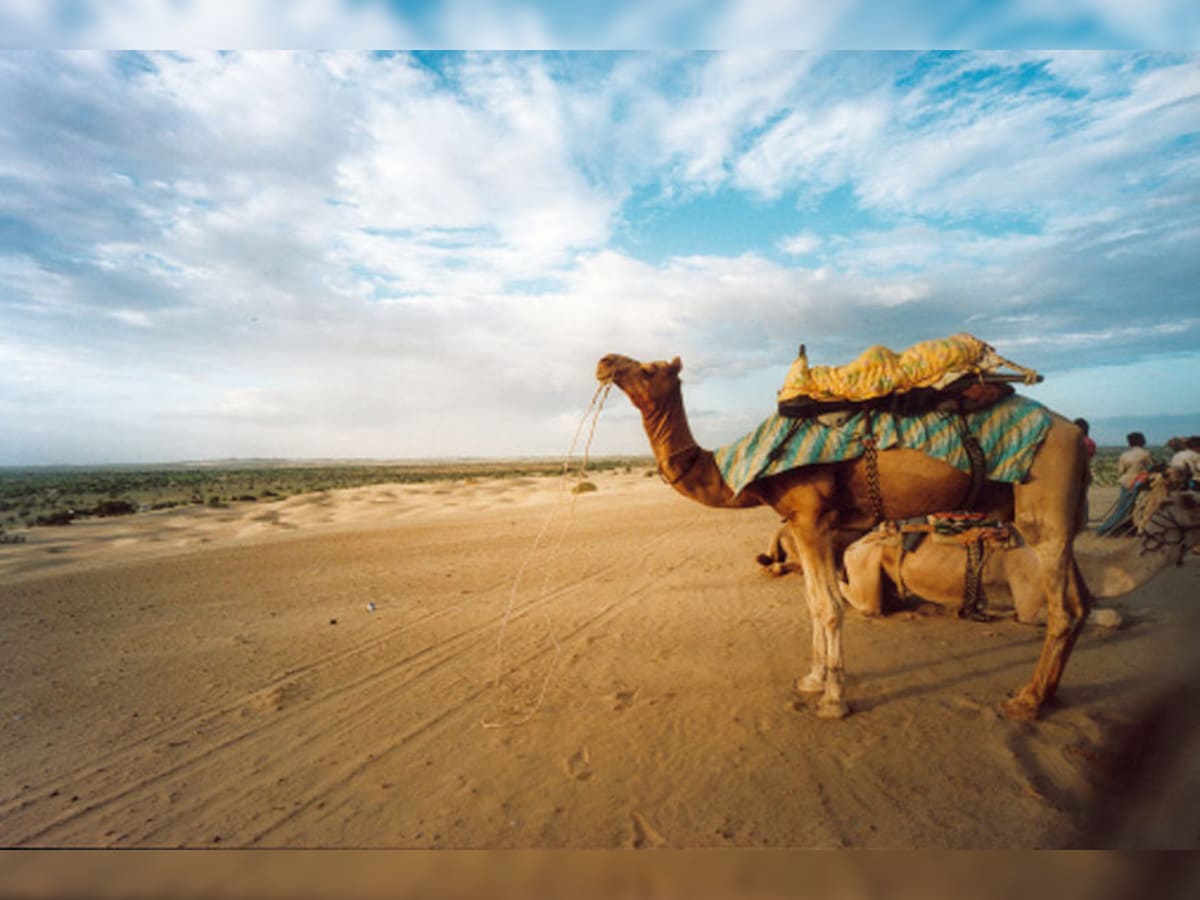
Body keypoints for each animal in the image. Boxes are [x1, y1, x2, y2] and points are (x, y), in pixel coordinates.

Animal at [596, 353, 1091, 720]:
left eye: (648, 369)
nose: (605, 362)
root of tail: (1076, 433)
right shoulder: (815, 525)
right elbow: (814, 603)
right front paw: (813, 680)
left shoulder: (810, 517)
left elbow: (829, 606)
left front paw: (833, 700)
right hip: (1061, 516)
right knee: (1080, 603)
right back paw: (1045, 695)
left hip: (1044, 498)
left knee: (1062, 608)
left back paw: (1026, 702)